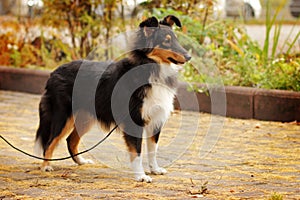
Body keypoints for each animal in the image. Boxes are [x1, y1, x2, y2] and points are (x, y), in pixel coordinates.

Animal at [34, 14, 191, 182]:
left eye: (176, 39)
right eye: (166, 41)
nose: (189, 57)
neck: (152, 69)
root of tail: (53, 73)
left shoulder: (156, 120)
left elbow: (153, 150)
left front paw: (154, 169)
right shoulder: (134, 120)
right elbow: (137, 152)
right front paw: (141, 176)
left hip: (85, 118)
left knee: (71, 140)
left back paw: (81, 161)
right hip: (62, 117)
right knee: (50, 142)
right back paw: (45, 167)